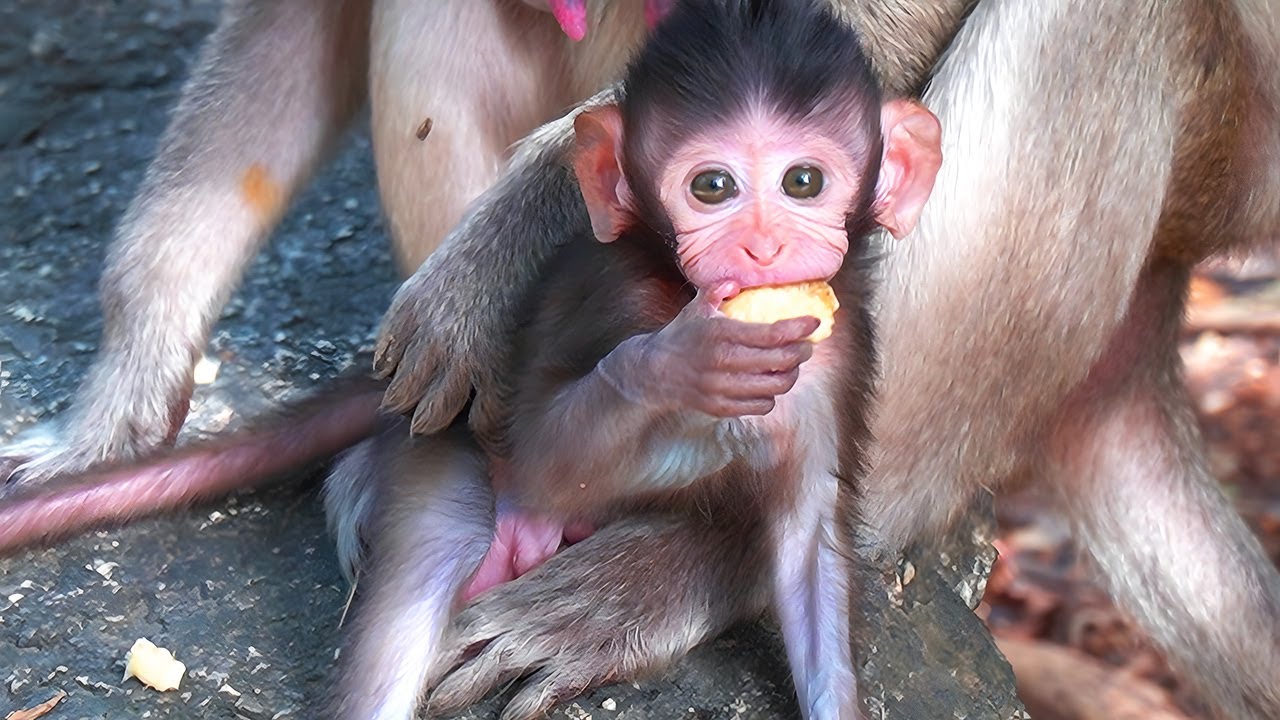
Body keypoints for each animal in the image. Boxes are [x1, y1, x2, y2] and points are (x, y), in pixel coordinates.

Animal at [0, 4, 944, 719]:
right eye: (710, 186)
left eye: (803, 181)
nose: (761, 247)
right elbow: (553, 434)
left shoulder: (836, 353)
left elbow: (811, 537)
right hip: (454, 473)